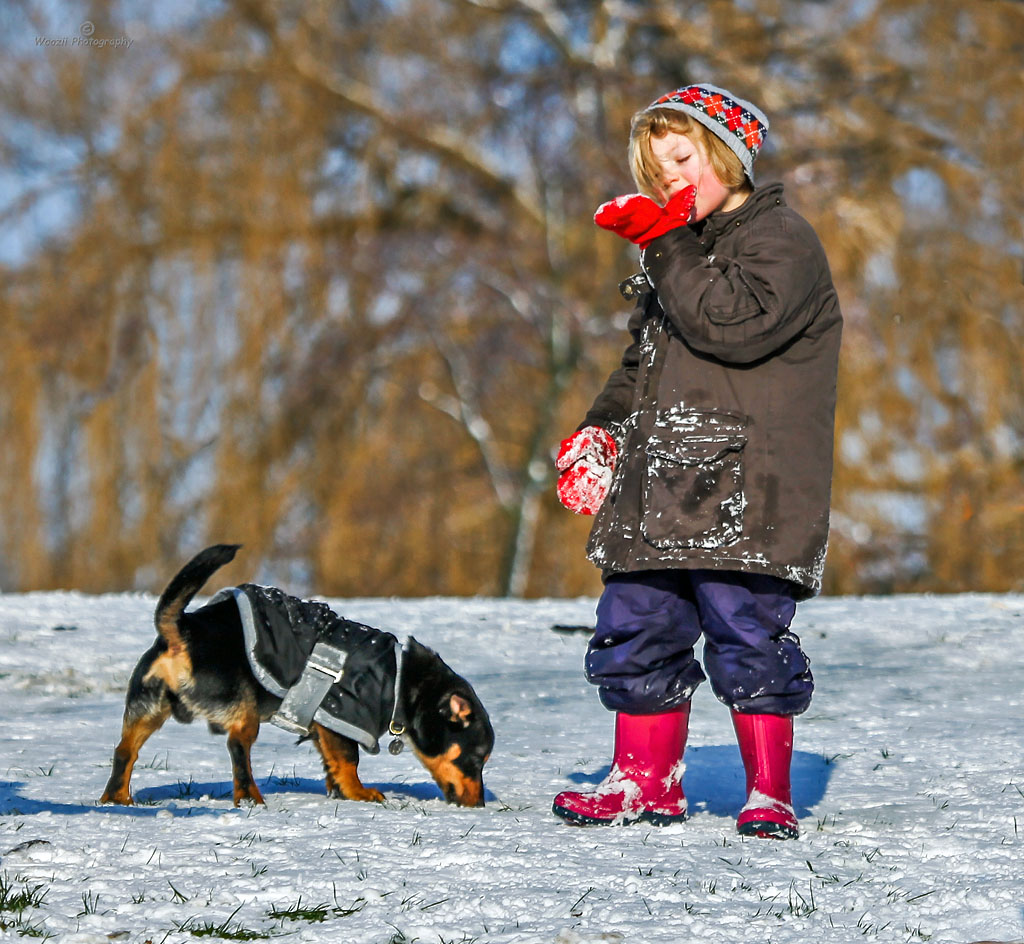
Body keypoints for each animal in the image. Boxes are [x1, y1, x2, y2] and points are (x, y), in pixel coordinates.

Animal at [98, 544, 491, 810]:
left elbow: (332, 764)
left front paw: (339, 792)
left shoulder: (324, 730)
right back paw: (251, 798)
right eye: (476, 759)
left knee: (124, 751)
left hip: (146, 709)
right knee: (237, 749)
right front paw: (360, 793)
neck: (401, 680)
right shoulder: (342, 719)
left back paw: (117, 799)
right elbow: (349, 762)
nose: (481, 804)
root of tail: (183, 630)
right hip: (244, 713)